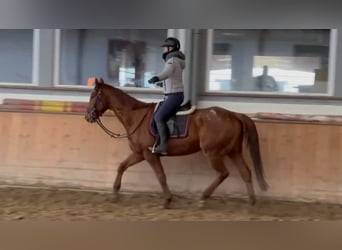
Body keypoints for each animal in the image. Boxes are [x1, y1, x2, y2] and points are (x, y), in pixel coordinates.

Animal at [84, 78, 268, 209]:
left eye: (93, 96)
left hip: (213, 153)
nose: (87, 116)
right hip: (233, 152)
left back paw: (203, 198)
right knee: (245, 173)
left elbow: (161, 176)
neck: (136, 117)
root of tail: (234, 115)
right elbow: (121, 166)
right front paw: (115, 193)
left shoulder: (149, 154)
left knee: (223, 174)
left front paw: (167, 200)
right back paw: (251, 202)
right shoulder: (139, 153)